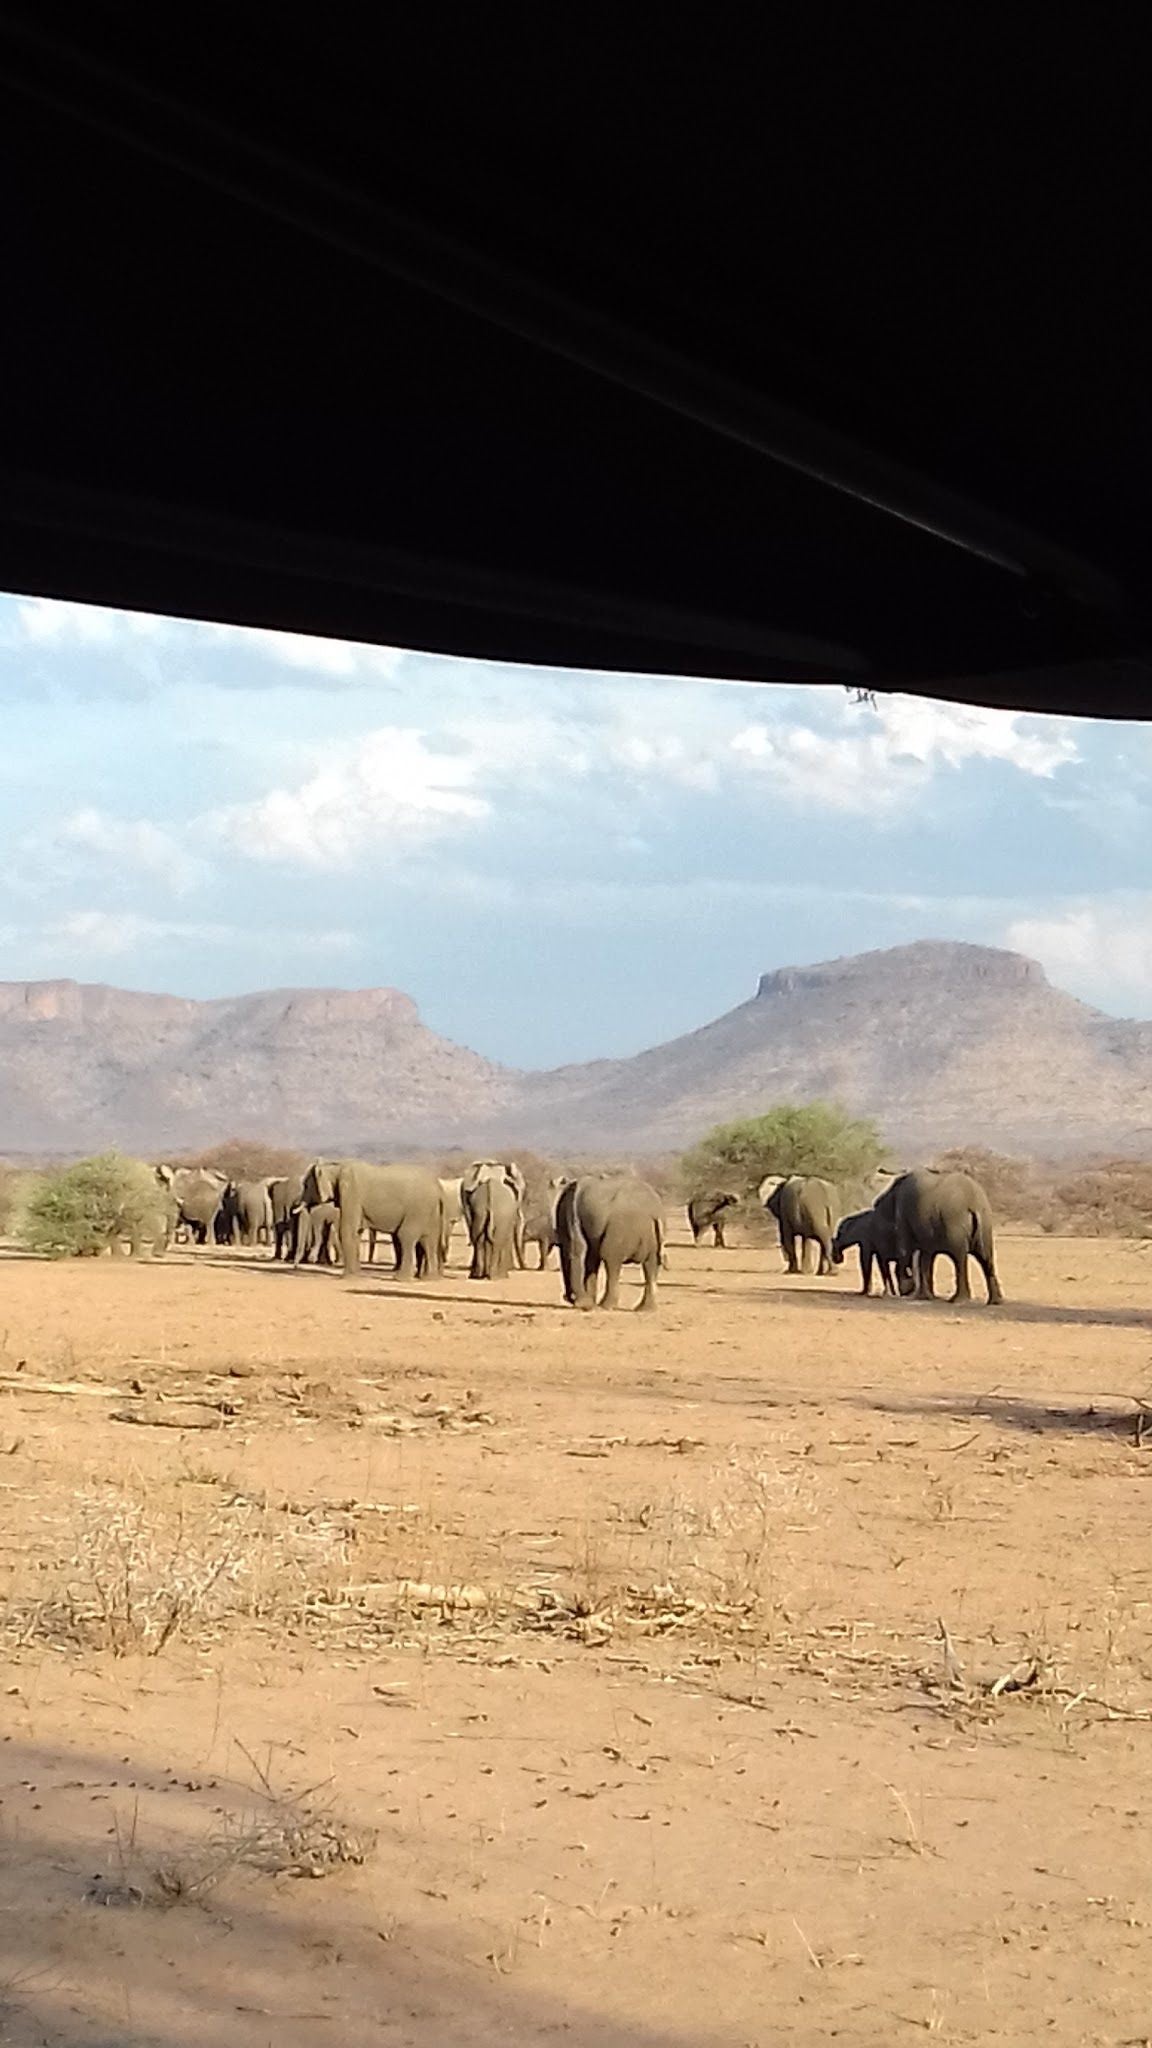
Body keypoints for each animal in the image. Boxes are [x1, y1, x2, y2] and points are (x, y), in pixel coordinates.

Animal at [303, 1155, 440, 1277]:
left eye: (305, 1185)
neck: (335, 1166)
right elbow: (357, 1232)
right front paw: (356, 1274)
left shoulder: (351, 1192)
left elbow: (348, 1230)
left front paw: (347, 1277)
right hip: (429, 1210)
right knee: (428, 1238)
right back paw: (429, 1278)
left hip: (417, 1209)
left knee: (406, 1235)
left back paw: (401, 1278)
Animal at [553, 1171, 660, 1310]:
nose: (567, 1298)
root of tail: (655, 1210)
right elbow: (591, 1258)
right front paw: (589, 1303)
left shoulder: (573, 1216)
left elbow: (578, 1250)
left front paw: (585, 1304)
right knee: (651, 1263)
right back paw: (645, 1309)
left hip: (621, 1227)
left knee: (611, 1258)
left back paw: (605, 1306)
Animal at [877, 1163, 996, 1302]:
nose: (876, 1203)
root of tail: (973, 1202)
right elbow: (926, 1255)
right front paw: (927, 1296)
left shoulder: (903, 1212)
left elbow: (905, 1249)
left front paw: (909, 1291)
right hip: (985, 1220)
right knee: (985, 1257)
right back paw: (994, 1301)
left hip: (954, 1221)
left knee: (959, 1256)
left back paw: (958, 1300)